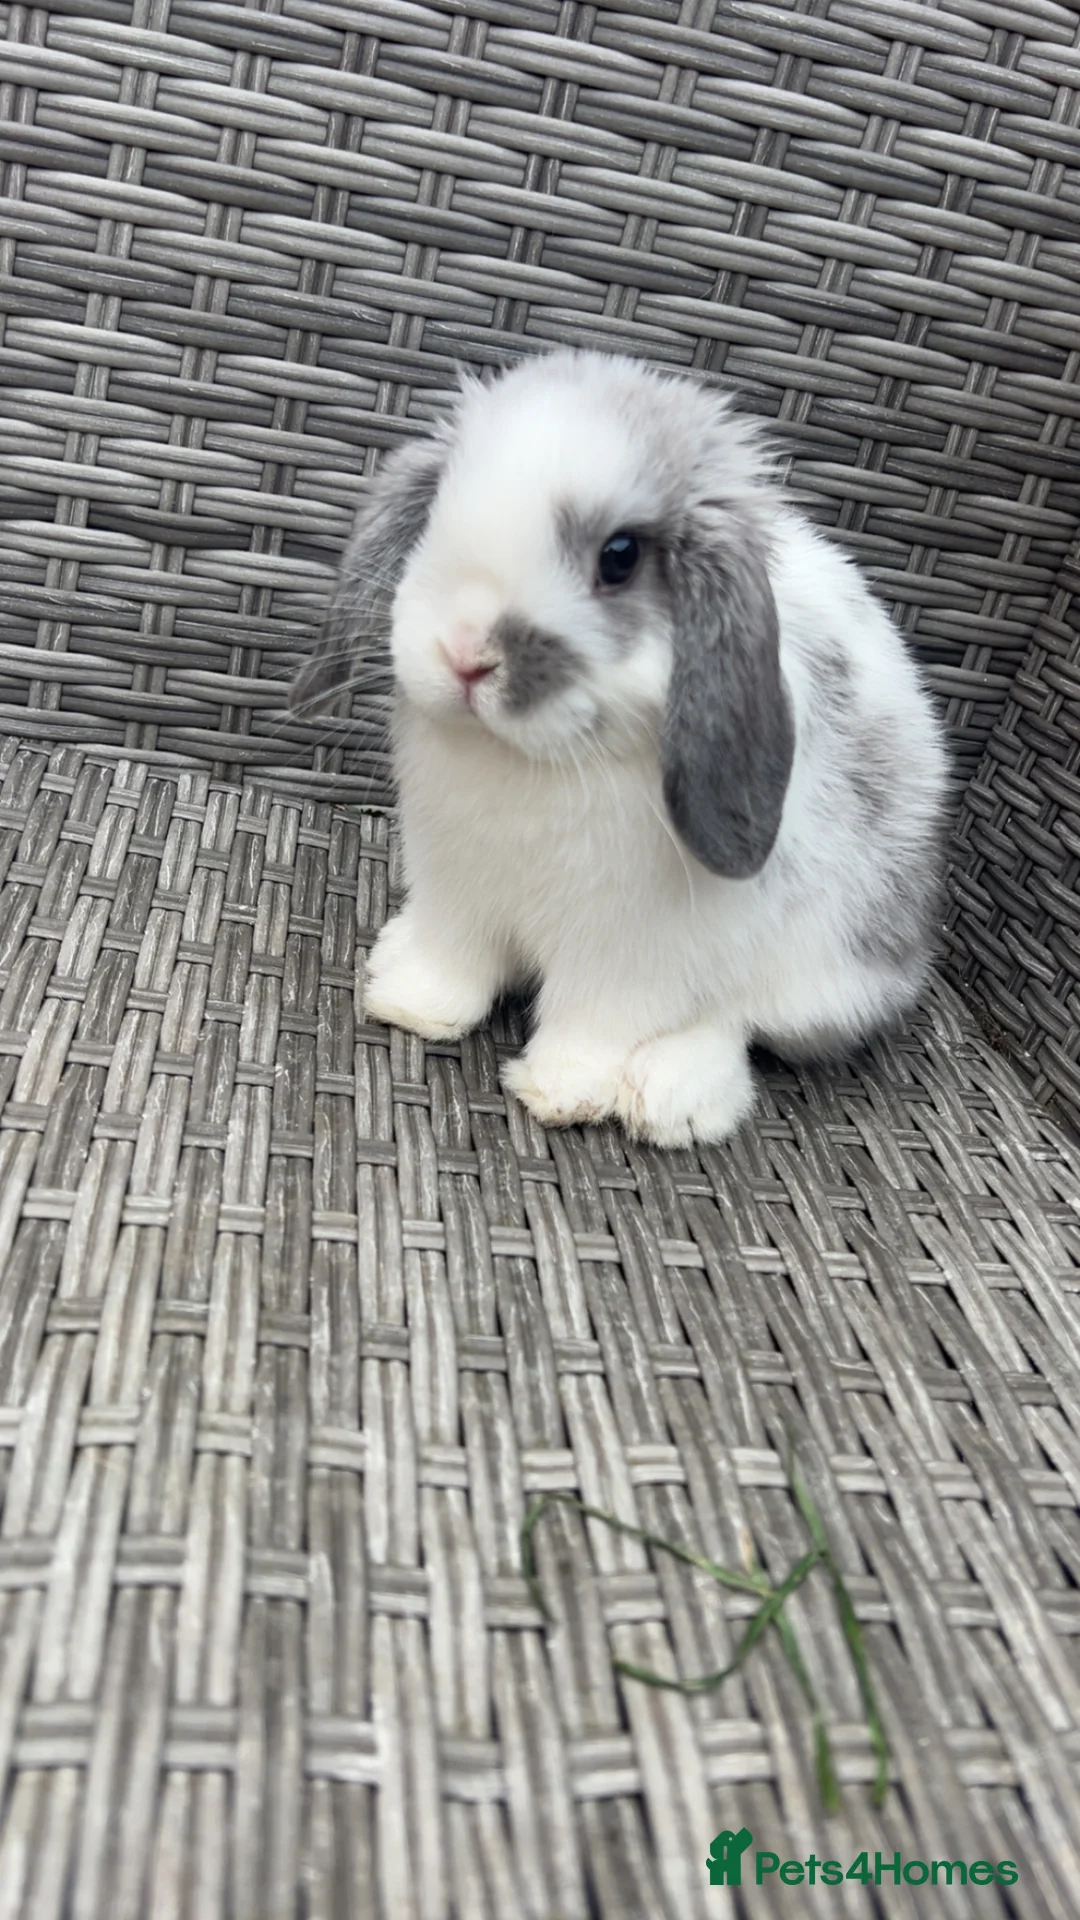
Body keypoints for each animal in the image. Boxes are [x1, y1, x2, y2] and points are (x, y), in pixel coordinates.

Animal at [291, 349, 948, 1147]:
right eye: (438, 509)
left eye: (620, 557)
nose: (465, 656)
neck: (530, 761)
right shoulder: (458, 894)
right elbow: (456, 961)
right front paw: (412, 1004)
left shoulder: (627, 956)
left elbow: (596, 1020)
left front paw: (561, 1090)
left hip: (819, 967)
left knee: (744, 1022)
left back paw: (669, 1098)